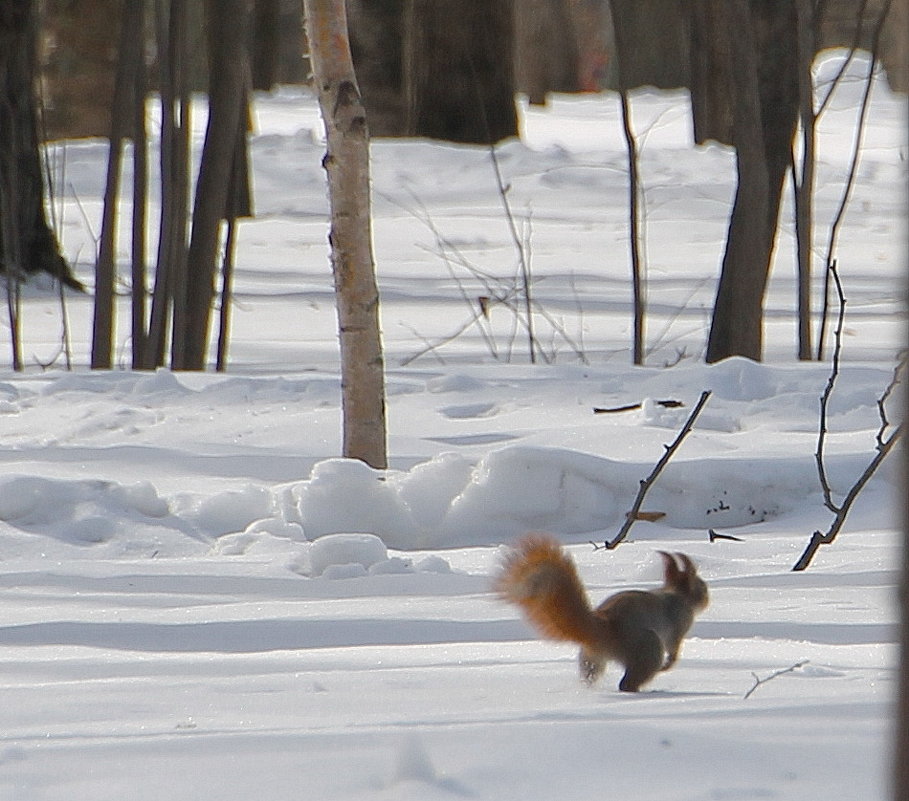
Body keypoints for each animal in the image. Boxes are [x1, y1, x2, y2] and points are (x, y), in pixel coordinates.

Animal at [496, 536, 708, 692]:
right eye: (702, 587)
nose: (707, 600)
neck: (677, 595)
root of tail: (602, 631)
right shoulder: (679, 622)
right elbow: (674, 646)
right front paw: (669, 664)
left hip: (590, 658)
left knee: (590, 676)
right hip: (647, 648)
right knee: (628, 682)